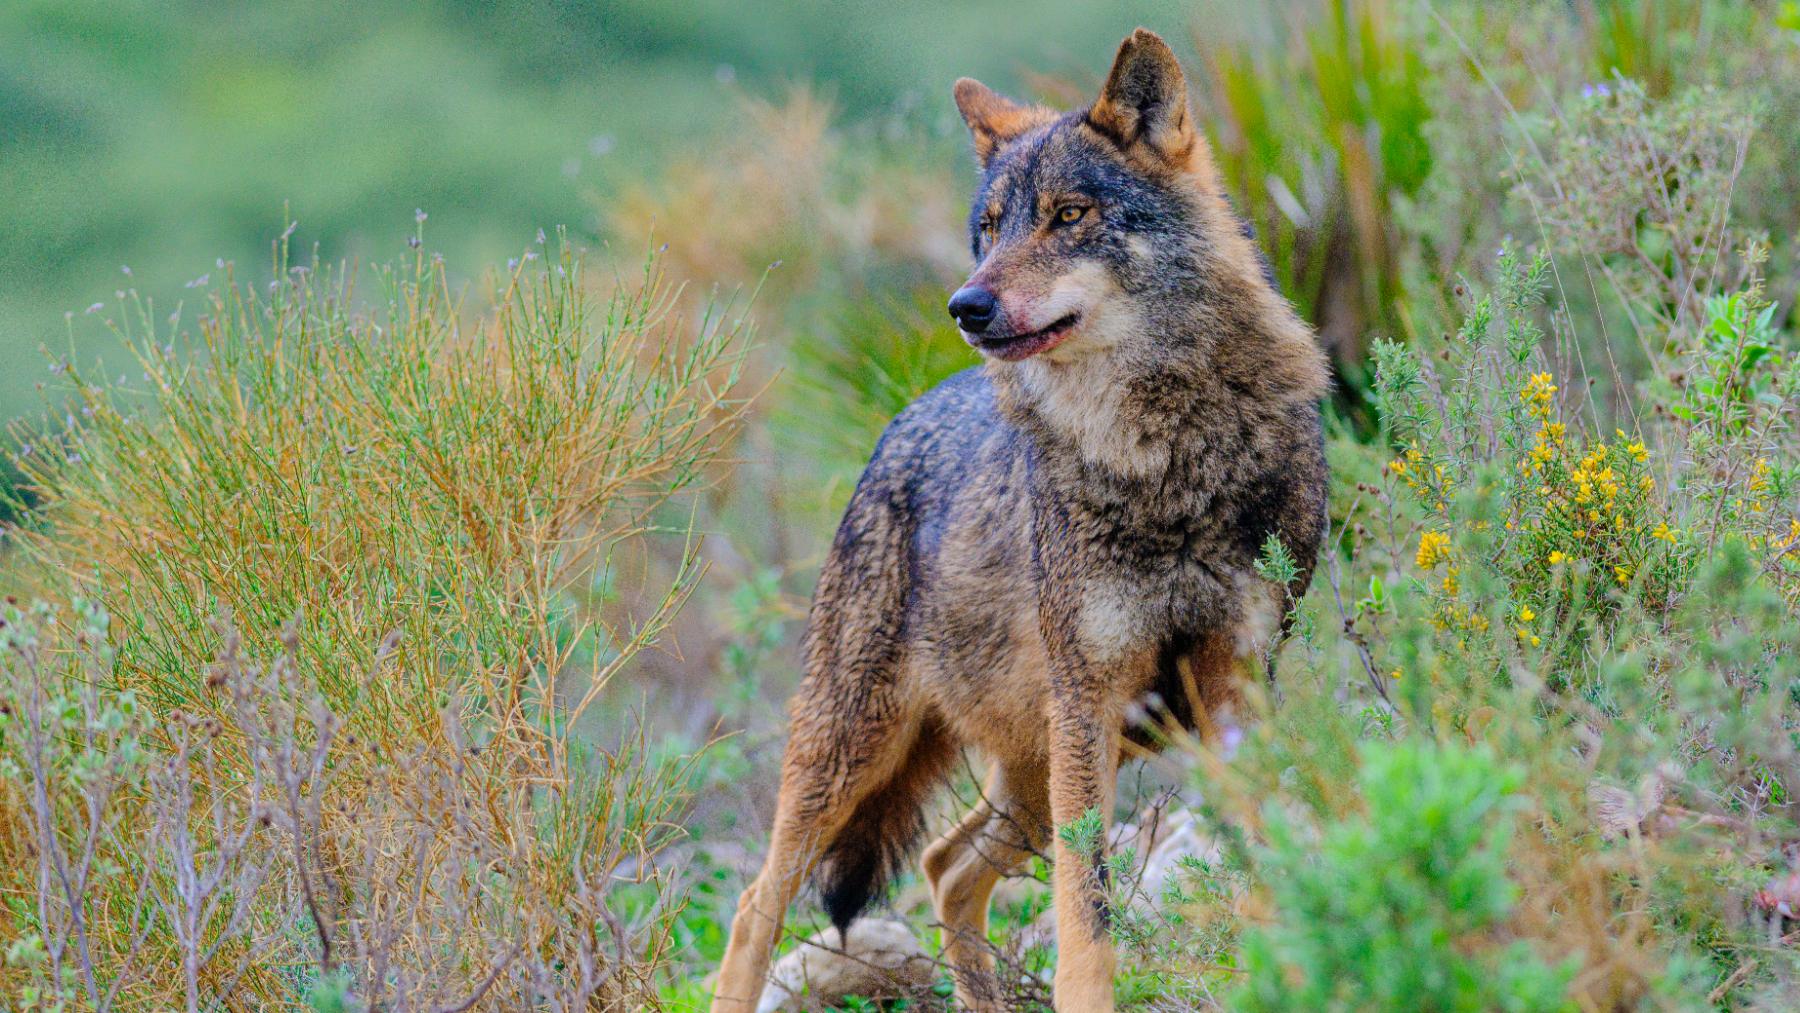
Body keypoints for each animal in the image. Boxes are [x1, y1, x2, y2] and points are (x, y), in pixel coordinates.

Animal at [710, 28, 1329, 1012]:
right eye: (990, 227)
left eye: (1070, 214)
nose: (966, 305)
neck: (1167, 456)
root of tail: (904, 418)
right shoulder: (1089, 697)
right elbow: (1088, 914)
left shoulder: (1236, 689)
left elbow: (1262, 864)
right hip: (857, 752)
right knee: (758, 901)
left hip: (1041, 767)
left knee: (945, 865)